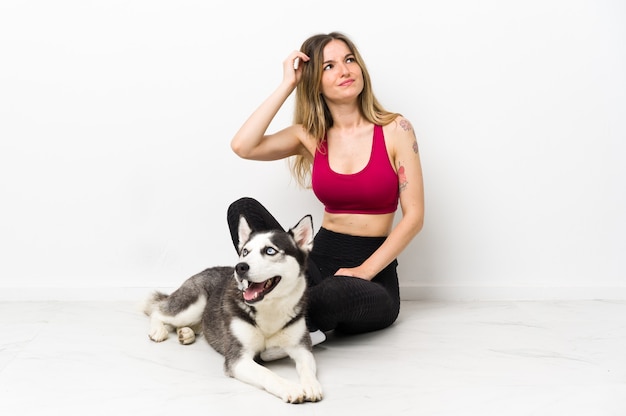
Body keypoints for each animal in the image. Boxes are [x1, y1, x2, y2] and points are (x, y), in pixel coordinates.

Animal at [142, 214, 322, 404]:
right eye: (245, 252)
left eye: (270, 251)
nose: (240, 267)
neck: (269, 308)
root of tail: (204, 270)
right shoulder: (238, 358)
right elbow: (266, 373)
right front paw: (289, 387)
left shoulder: (301, 348)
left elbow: (307, 367)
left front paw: (311, 385)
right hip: (193, 304)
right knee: (158, 311)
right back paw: (158, 330)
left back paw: (186, 333)